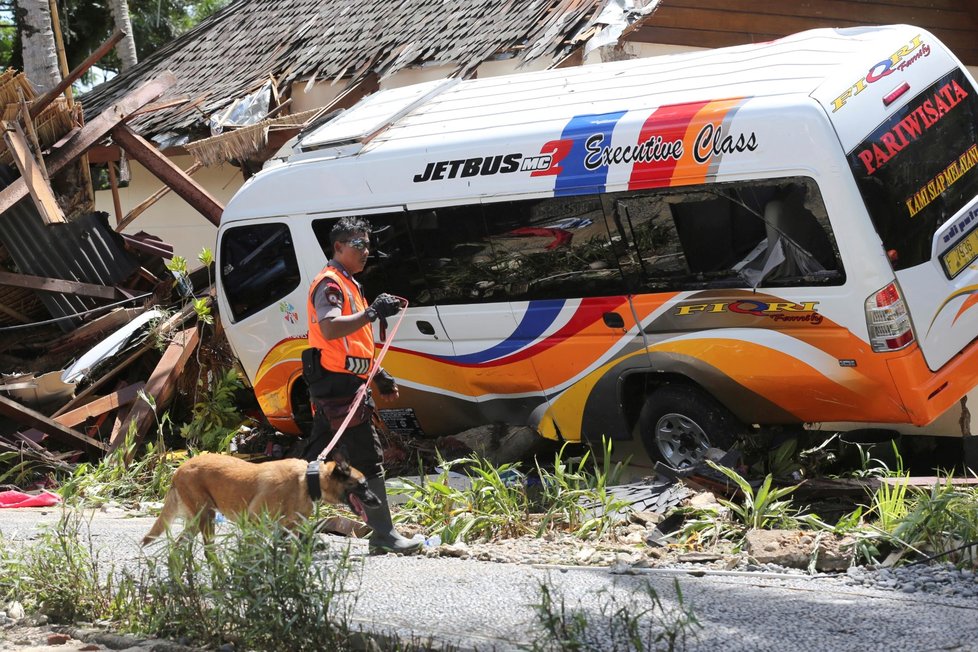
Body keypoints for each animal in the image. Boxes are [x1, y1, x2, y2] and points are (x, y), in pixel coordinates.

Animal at [141, 454, 378, 544]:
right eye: (363, 485)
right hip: (206, 518)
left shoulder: (289, 530)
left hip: (197, 521)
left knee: (177, 548)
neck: (308, 479)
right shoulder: (254, 523)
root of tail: (178, 470)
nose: (378, 502)